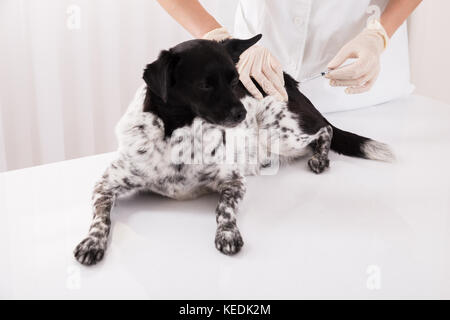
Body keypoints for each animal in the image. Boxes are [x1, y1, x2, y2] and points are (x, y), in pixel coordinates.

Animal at [74, 34, 394, 264]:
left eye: (235, 80)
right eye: (204, 85)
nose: (241, 113)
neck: (178, 135)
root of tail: (290, 82)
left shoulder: (232, 181)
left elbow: (223, 209)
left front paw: (228, 234)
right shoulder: (106, 183)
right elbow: (101, 216)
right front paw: (92, 241)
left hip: (280, 132)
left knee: (325, 130)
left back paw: (319, 159)